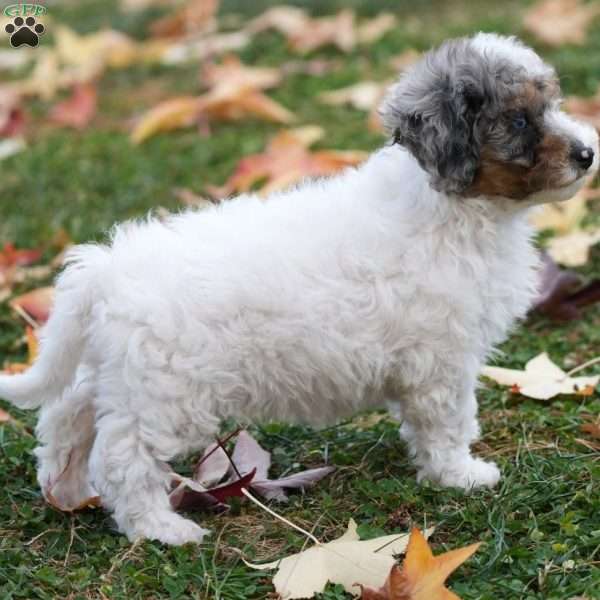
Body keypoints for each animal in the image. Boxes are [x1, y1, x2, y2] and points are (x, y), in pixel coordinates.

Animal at [0, 35, 596, 548]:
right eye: (518, 120)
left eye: (551, 103)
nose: (588, 153)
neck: (454, 205)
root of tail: (104, 269)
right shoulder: (441, 362)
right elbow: (447, 423)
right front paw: (460, 475)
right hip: (164, 393)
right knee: (124, 455)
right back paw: (159, 528)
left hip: (121, 374)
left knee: (67, 416)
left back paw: (69, 491)